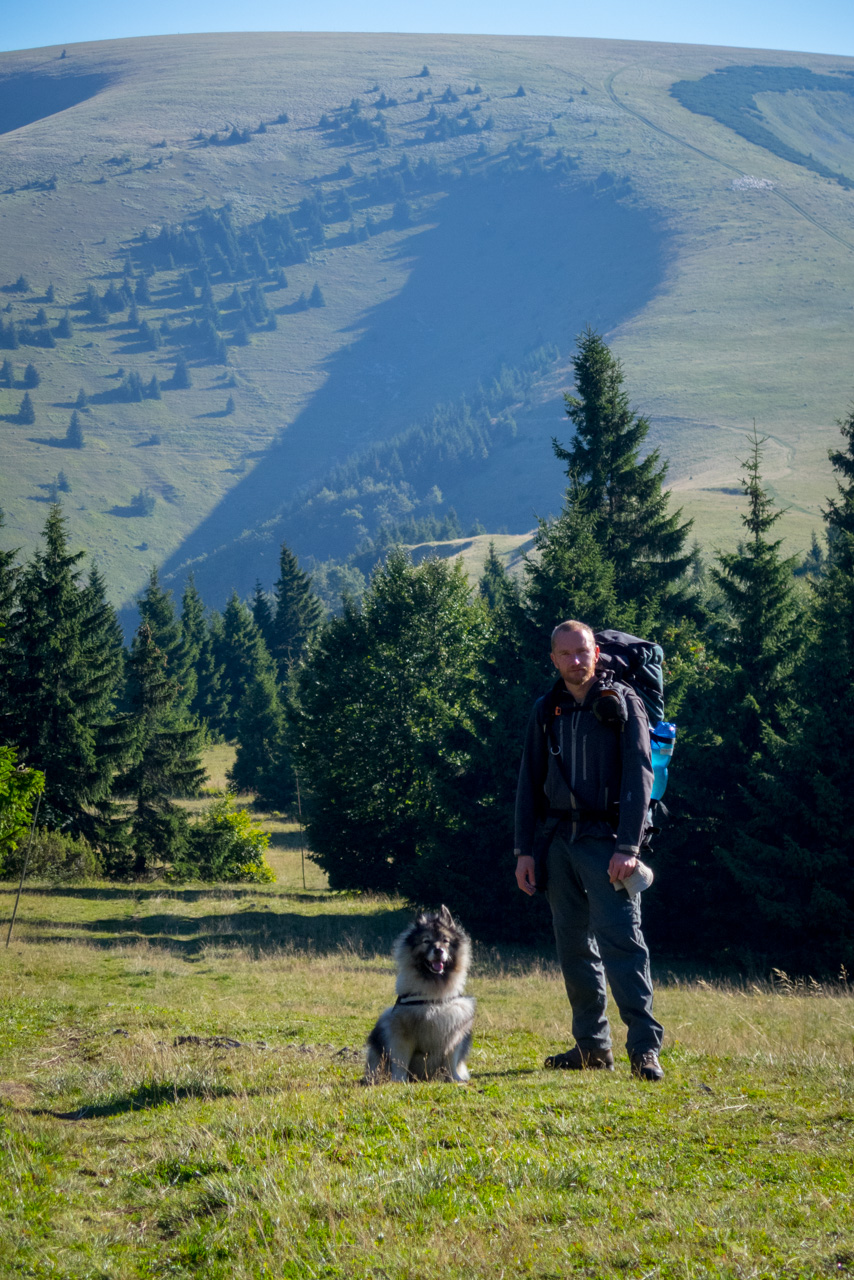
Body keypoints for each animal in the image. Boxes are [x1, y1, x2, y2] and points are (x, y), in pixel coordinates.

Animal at [363, 906, 478, 1085]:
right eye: (426, 941)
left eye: (445, 941)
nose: (439, 950)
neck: (433, 995)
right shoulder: (401, 1033)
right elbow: (400, 1061)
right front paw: (398, 1080)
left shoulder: (454, 1031)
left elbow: (451, 1060)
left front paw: (455, 1079)